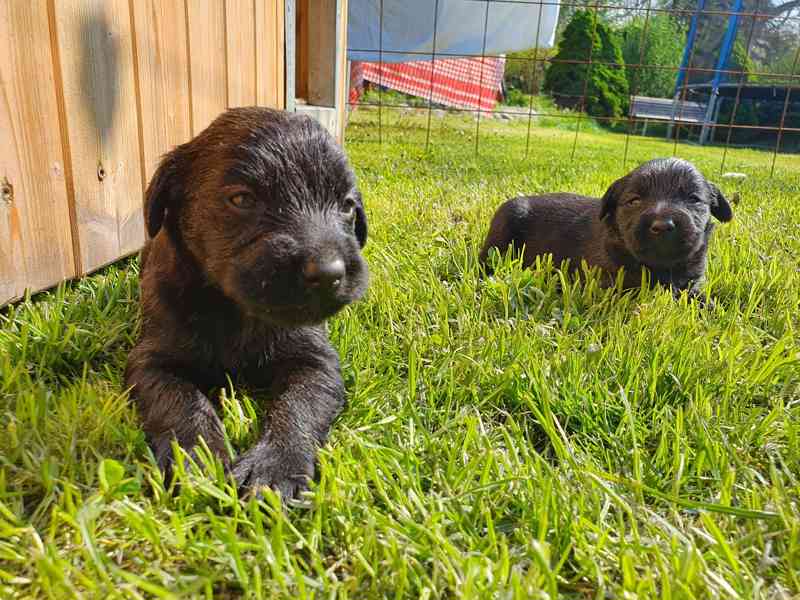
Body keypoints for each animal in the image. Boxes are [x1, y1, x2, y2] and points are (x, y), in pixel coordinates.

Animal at [478, 157, 736, 298]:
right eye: (634, 201)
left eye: (694, 199)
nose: (663, 226)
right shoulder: (607, 282)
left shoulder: (691, 282)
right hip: (505, 225)